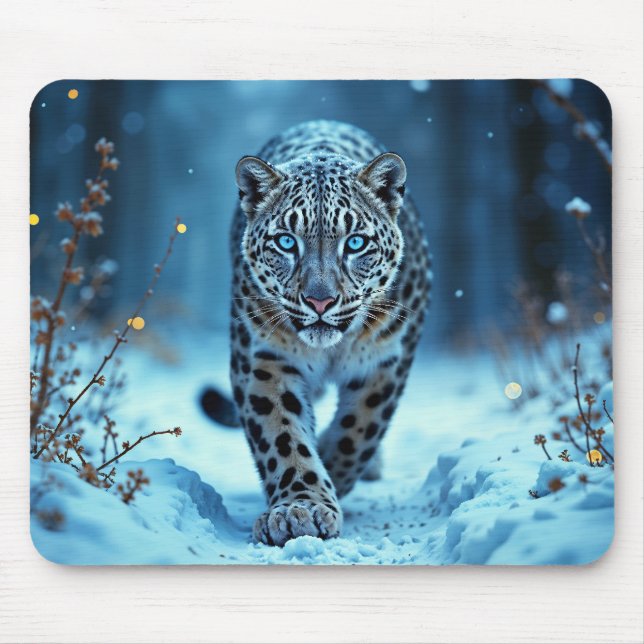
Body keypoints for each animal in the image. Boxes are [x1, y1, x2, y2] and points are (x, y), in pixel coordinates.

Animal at [202, 120, 431, 546]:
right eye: (285, 242)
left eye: (355, 243)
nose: (319, 301)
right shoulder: (263, 360)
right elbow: (282, 436)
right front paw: (300, 508)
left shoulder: (386, 361)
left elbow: (357, 432)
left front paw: (330, 474)